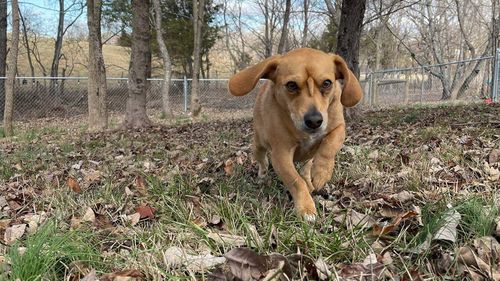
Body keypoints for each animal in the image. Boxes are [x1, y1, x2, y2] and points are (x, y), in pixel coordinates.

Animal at [229, 47, 362, 219]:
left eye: (327, 83)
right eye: (291, 85)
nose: (314, 120)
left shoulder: (338, 128)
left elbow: (329, 145)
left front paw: (321, 173)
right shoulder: (281, 155)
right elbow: (296, 181)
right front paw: (306, 207)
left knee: (306, 167)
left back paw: (310, 179)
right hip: (258, 146)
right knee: (262, 161)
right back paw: (263, 175)